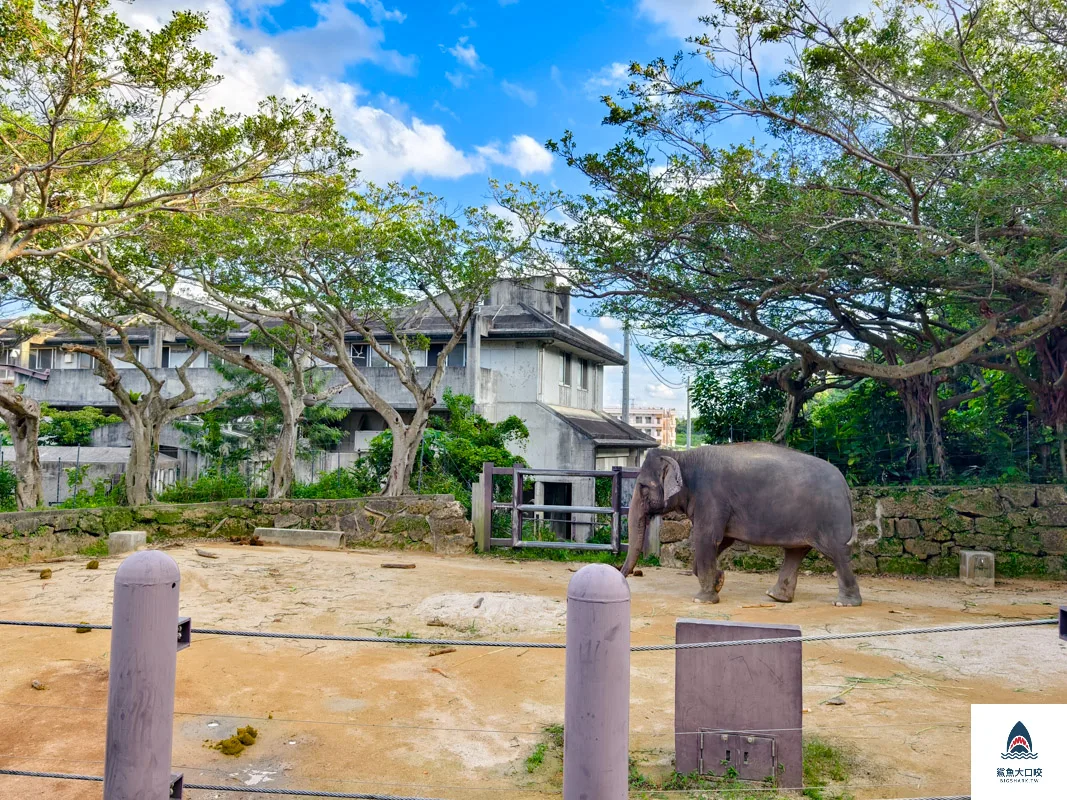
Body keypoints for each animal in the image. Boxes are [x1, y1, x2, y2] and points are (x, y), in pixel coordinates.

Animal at [623, 445, 862, 605]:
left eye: (642, 487)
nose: (628, 576)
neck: (681, 455)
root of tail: (845, 485)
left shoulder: (711, 498)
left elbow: (706, 538)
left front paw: (703, 599)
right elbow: (722, 541)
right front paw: (719, 580)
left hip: (830, 517)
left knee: (837, 552)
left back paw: (845, 603)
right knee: (795, 552)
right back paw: (777, 597)